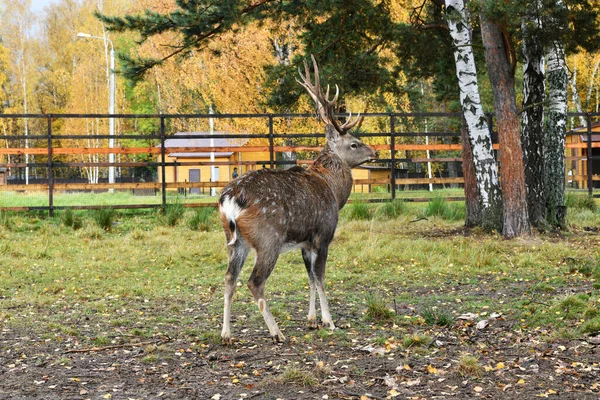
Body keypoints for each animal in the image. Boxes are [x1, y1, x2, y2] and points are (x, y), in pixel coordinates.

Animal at [218, 55, 378, 344]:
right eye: (354, 143)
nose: (376, 152)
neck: (334, 191)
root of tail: (231, 199)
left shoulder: (305, 241)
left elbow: (310, 278)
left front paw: (312, 320)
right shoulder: (323, 234)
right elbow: (321, 277)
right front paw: (329, 321)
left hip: (234, 240)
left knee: (229, 278)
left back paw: (226, 334)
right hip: (268, 238)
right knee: (254, 281)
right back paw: (276, 332)